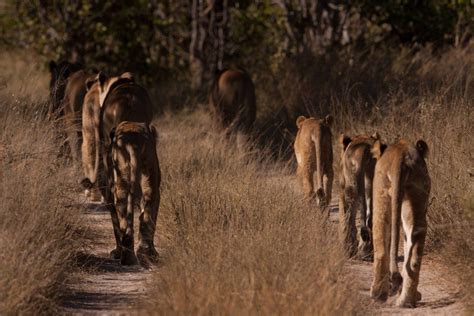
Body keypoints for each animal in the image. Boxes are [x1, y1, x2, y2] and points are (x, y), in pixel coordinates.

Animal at [106, 122, 160, 266]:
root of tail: (133, 141)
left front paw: (116, 253)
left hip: (124, 176)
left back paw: (128, 258)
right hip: (149, 175)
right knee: (146, 213)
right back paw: (142, 254)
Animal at [368, 138, 432, 306]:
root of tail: (402, 156)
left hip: (381, 192)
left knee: (381, 243)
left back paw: (378, 294)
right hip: (416, 193)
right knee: (415, 239)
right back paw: (406, 300)